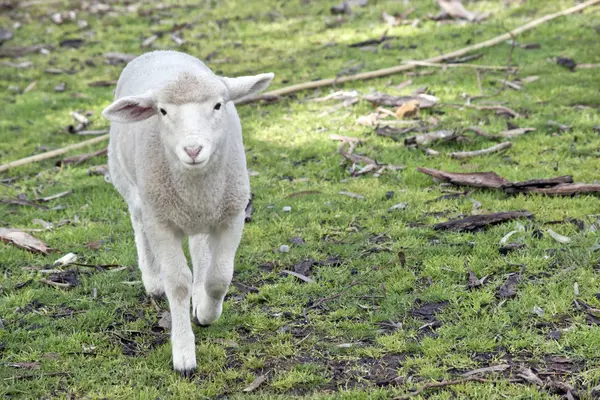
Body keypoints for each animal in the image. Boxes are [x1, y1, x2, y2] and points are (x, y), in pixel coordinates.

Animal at [101, 49, 274, 376]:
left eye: (218, 105)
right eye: (162, 111)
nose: (193, 150)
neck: (196, 186)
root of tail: (160, 51)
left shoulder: (231, 215)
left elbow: (220, 276)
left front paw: (206, 312)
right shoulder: (161, 223)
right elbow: (178, 283)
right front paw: (183, 353)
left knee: (199, 247)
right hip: (128, 183)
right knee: (138, 222)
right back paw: (152, 280)